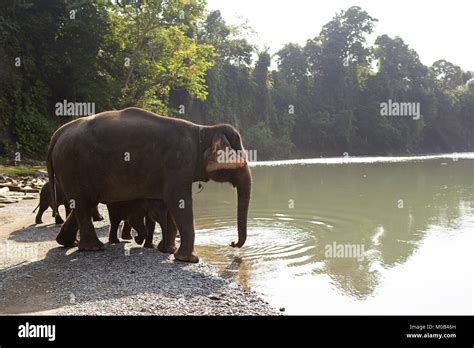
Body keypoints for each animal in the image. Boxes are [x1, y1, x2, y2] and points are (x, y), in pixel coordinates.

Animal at [47, 107, 252, 262]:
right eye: (241, 161)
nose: (232, 243)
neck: (204, 129)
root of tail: (58, 133)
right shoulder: (178, 162)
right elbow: (178, 201)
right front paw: (188, 259)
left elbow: (172, 204)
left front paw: (168, 251)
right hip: (73, 167)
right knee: (83, 203)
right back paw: (93, 248)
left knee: (84, 204)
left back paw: (68, 243)